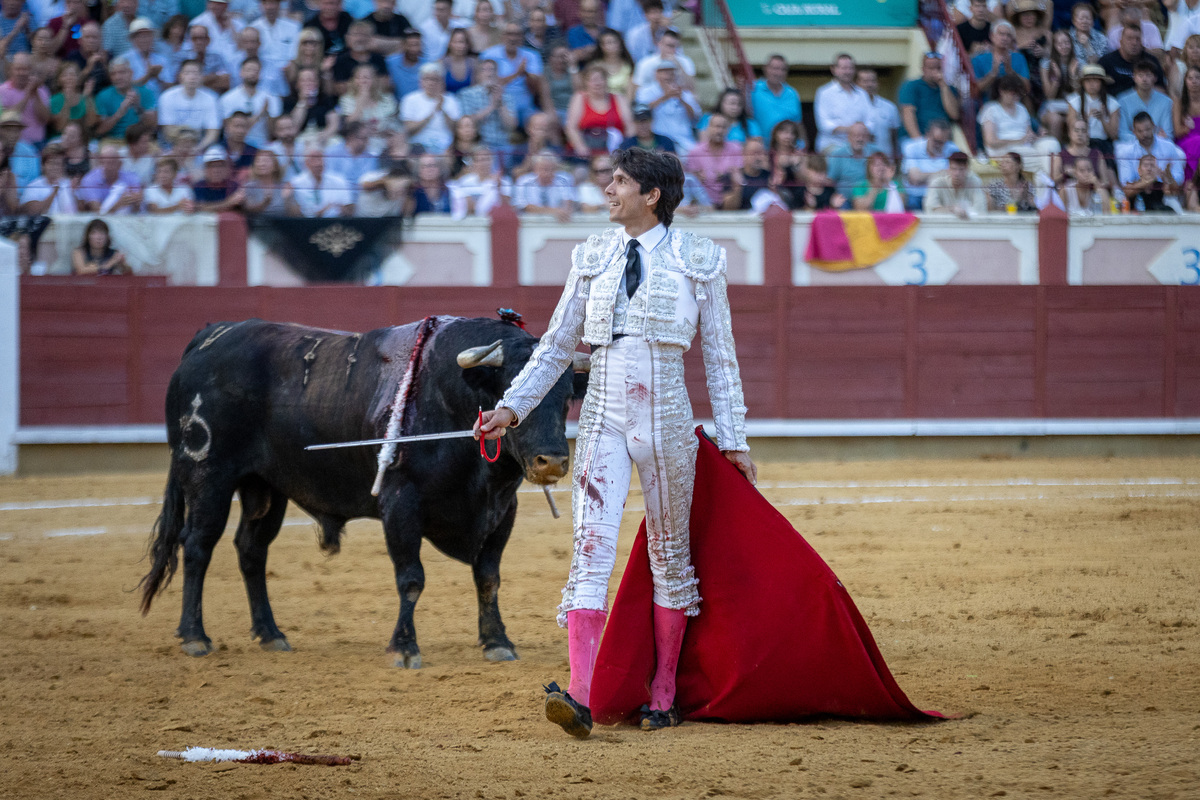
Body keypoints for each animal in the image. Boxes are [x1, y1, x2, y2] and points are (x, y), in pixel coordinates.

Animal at [137, 316, 585, 666]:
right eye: (509, 391)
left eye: (566, 398)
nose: (551, 462)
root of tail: (212, 335)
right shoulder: (400, 503)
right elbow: (411, 577)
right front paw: (404, 649)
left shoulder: (502, 510)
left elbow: (488, 576)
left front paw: (497, 642)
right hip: (207, 475)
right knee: (197, 545)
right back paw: (195, 637)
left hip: (265, 486)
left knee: (251, 549)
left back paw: (271, 635)